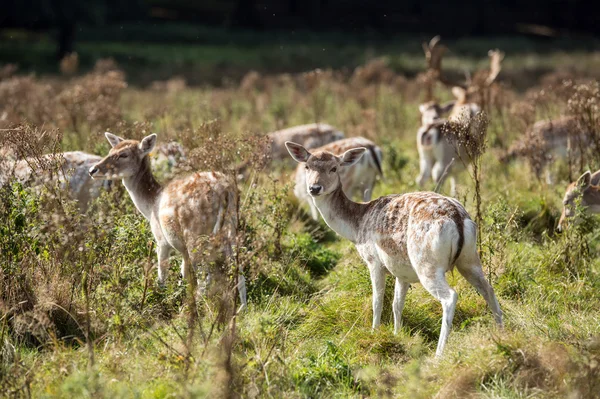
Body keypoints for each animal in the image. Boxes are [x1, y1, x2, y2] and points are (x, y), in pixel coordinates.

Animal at [88, 133, 246, 310]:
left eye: (124, 154)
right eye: (110, 150)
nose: (92, 170)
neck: (150, 206)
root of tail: (224, 191)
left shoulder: (161, 240)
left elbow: (162, 275)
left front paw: (159, 300)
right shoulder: (182, 250)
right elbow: (183, 275)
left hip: (195, 234)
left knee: (205, 277)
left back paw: (192, 309)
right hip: (232, 228)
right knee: (239, 266)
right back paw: (241, 308)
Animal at [286, 142, 502, 358]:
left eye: (334, 168)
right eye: (307, 166)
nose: (314, 188)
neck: (357, 226)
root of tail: (457, 217)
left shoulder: (374, 261)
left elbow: (377, 301)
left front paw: (374, 332)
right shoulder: (401, 270)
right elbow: (397, 304)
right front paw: (397, 334)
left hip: (427, 264)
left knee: (450, 297)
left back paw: (439, 353)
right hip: (469, 258)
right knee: (488, 288)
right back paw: (501, 331)